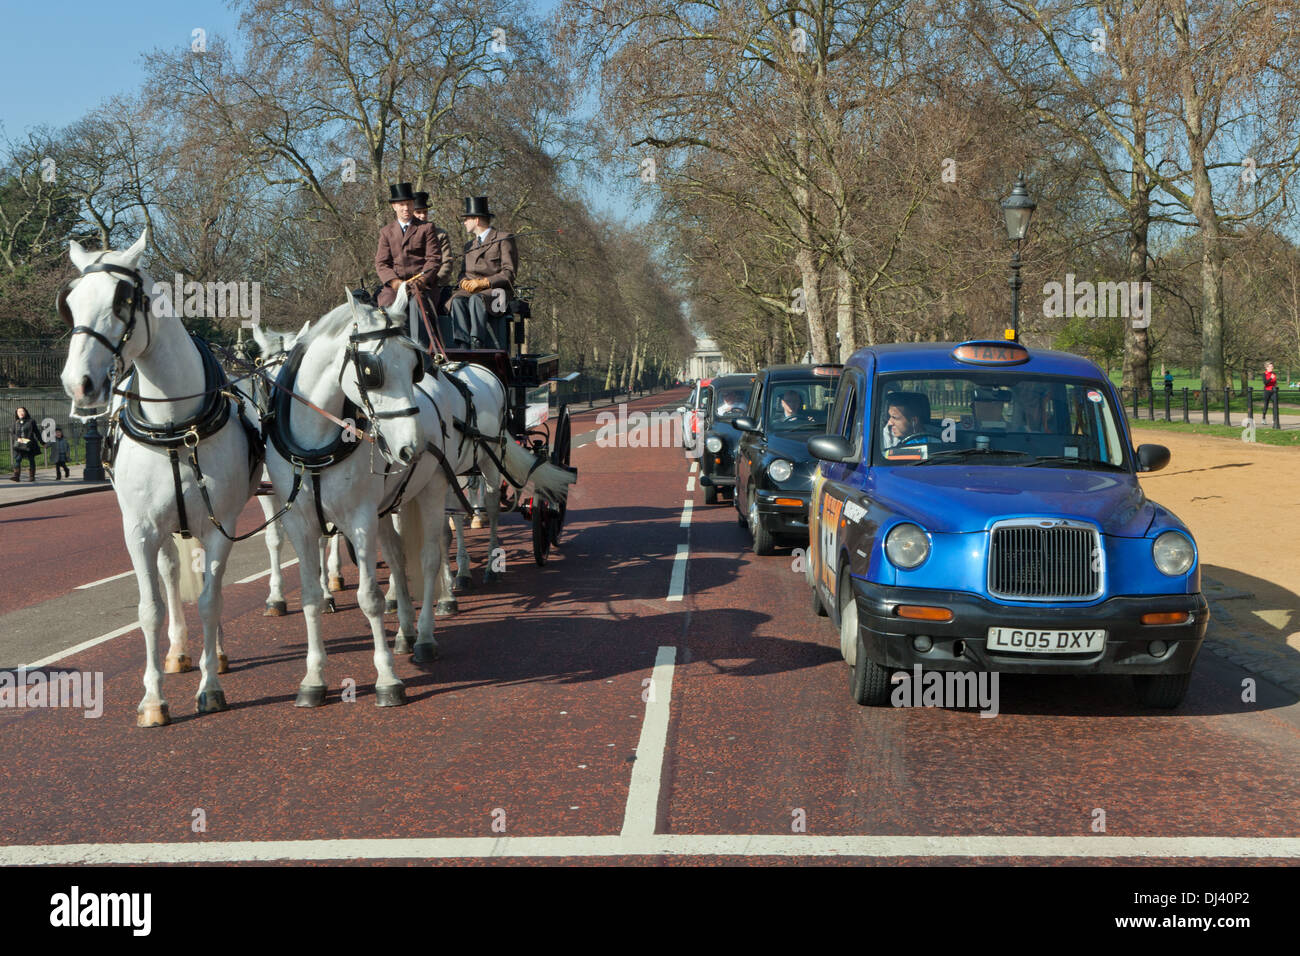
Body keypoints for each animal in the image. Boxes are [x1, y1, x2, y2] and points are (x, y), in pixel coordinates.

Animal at [60, 230, 261, 723]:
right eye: (70, 303)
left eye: (122, 299)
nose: (79, 385)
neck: (172, 426)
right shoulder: (139, 529)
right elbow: (149, 608)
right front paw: (153, 698)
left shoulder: (220, 527)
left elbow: (210, 599)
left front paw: (209, 688)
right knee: (172, 573)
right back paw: (180, 652)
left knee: (212, 584)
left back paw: (216, 654)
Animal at [248, 325, 345, 616]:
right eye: (265, 379)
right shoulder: (271, 491)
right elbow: (274, 539)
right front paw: (276, 597)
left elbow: (323, 536)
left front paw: (324, 593)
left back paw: (333, 575)